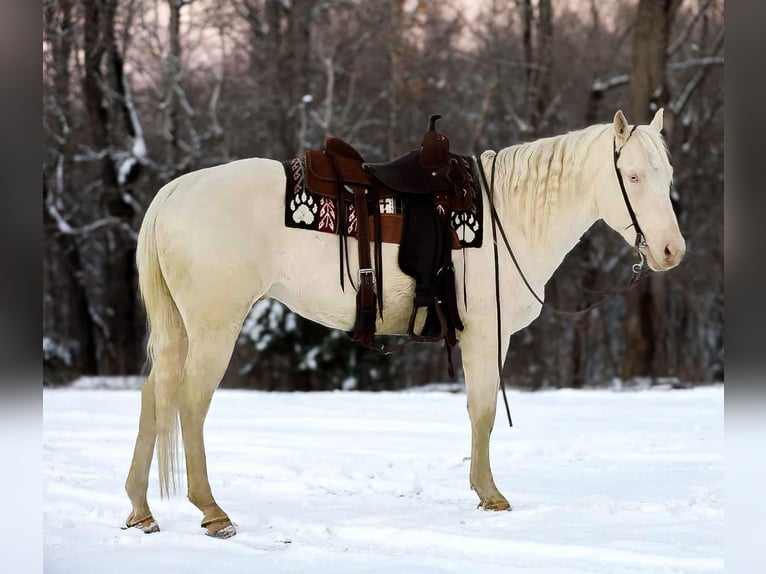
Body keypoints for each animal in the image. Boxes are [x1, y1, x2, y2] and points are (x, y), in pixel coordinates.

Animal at [124, 109, 685, 538]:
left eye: (668, 176)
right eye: (633, 176)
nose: (671, 251)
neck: (509, 218)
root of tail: (175, 192)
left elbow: (475, 411)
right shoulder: (487, 335)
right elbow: (483, 411)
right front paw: (491, 495)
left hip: (181, 327)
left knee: (155, 396)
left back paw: (141, 510)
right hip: (214, 325)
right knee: (190, 402)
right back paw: (212, 512)